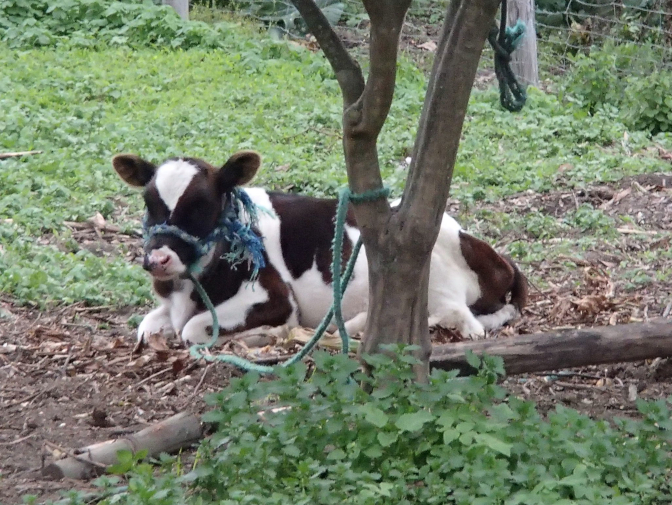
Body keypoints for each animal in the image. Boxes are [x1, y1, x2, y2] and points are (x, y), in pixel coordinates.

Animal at [111, 150, 528, 345]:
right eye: (149, 203)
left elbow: (193, 329)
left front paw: (269, 334)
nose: (157, 259)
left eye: (200, 205)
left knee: (463, 319)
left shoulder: (273, 297)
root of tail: (497, 258)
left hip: (427, 269)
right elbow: (146, 326)